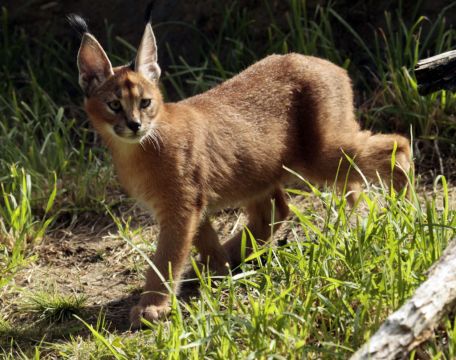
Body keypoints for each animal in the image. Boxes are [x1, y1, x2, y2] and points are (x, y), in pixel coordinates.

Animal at [69, 15, 412, 328]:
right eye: (114, 105)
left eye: (145, 102)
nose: (135, 124)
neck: (137, 148)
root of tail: (329, 64)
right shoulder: (191, 203)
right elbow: (202, 240)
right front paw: (217, 269)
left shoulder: (180, 206)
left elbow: (166, 256)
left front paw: (152, 305)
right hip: (258, 169)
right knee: (276, 211)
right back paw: (230, 258)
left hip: (320, 154)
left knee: (397, 147)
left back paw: (407, 213)